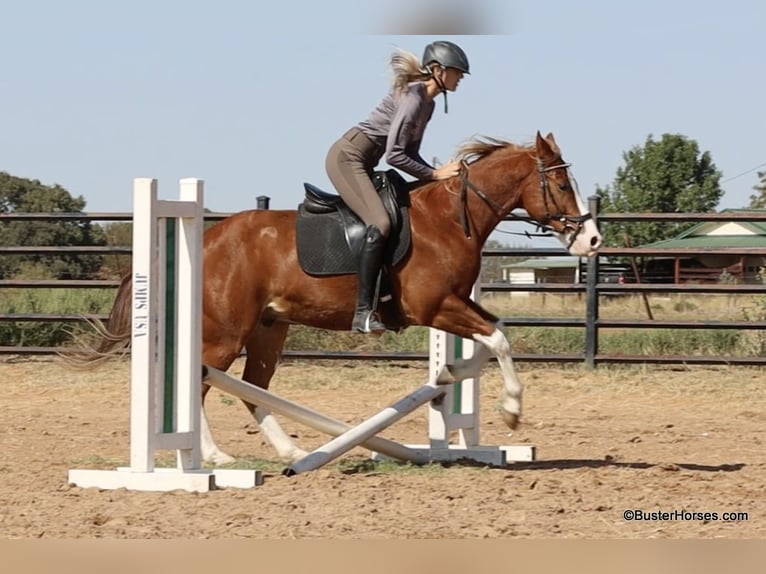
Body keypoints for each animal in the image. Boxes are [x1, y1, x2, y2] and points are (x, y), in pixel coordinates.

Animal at [88, 131, 602, 464]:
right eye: (560, 185)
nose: (592, 240)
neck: (450, 219)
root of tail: (207, 238)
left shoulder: (454, 304)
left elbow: (494, 335)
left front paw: (448, 375)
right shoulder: (435, 307)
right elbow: (498, 340)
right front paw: (511, 409)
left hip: (269, 329)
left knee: (253, 386)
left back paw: (292, 451)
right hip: (224, 334)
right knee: (200, 382)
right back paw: (213, 456)